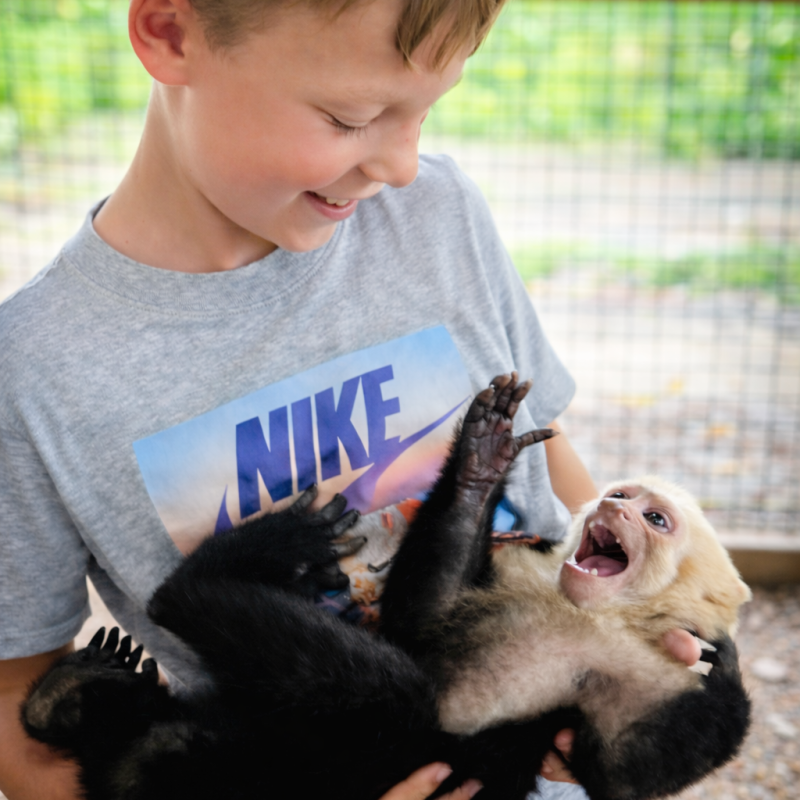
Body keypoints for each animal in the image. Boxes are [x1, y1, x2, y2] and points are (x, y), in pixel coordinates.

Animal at [21, 374, 750, 800]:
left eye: (656, 519)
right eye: (622, 495)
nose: (612, 507)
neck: (591, 613)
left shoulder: (642, 670)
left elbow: (623, 771)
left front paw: (726, 675)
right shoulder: (520, 567)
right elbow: (419, 619)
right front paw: (482, 461)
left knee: (397, 698)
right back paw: (75, 691)